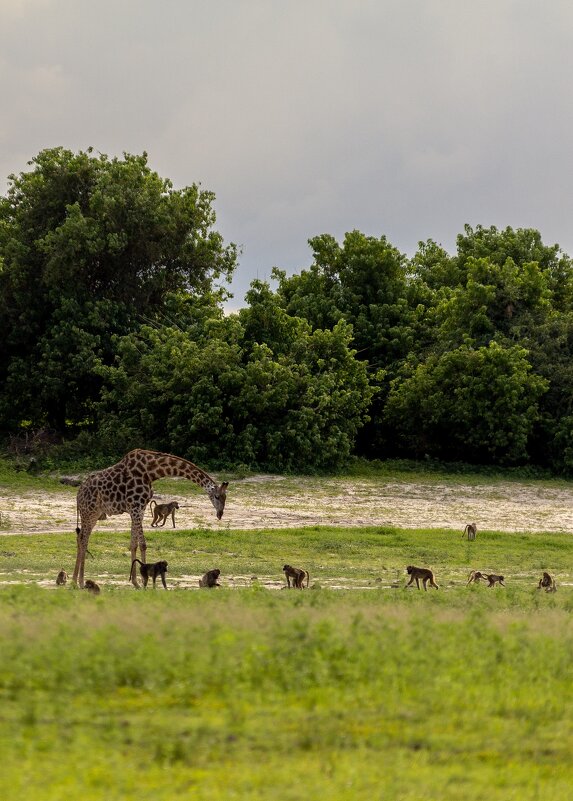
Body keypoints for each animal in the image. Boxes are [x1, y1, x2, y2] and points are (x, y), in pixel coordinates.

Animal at [72, 450, 229, 588]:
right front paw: (143, 581)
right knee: (84, 539)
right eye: (216, 496)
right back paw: (80, 582)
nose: (220, 513)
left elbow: (134, 544)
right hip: (89, 512)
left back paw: (74, 580)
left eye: (225, 497)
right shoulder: (135, 507)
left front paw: (136, 582)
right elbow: (143, 544)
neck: (151, 472)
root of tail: (78, 495)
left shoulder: (139, 509)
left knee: (80, 537)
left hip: (95, 514)